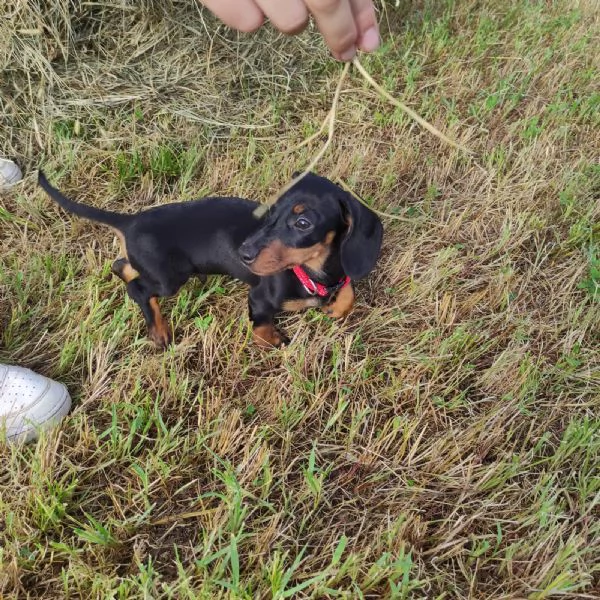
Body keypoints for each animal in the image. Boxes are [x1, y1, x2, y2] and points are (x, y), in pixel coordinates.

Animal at [38, 170, 384, 346]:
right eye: (271, 212)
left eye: (303, 223)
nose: (244, 253)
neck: (312, 274)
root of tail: (132, 221)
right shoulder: (258, 299)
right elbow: (262, 328)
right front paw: (276, 340)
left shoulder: (340, 277)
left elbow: (347, 294)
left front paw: (334, 307)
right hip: (170, 278)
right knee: (138, 289)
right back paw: (159, 331)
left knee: (122, 266)